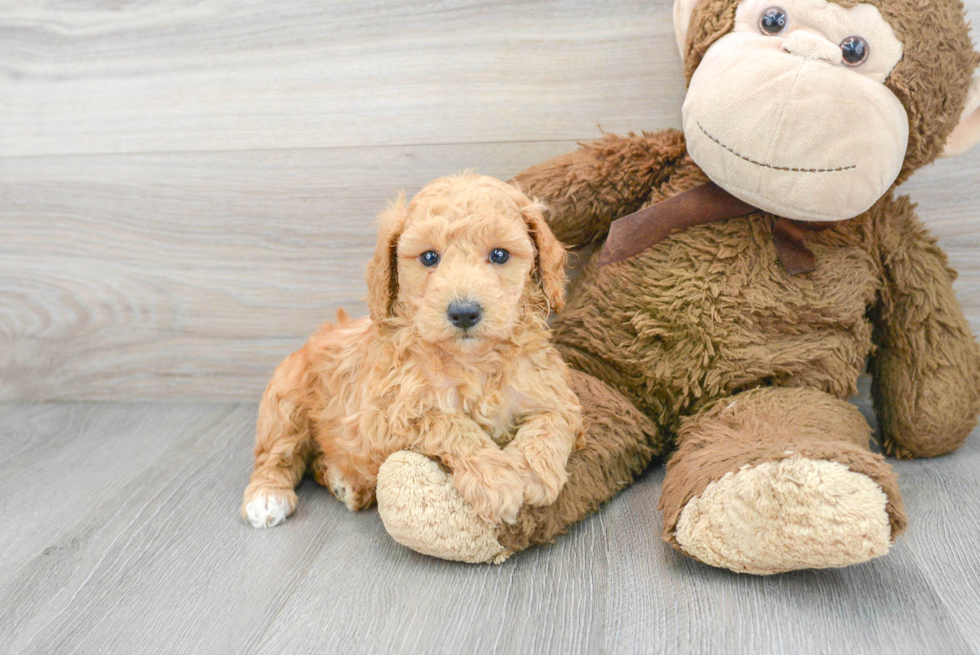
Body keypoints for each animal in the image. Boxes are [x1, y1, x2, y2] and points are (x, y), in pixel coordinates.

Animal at [242, 173, 584, 528]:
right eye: (429, 257)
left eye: (500, 255)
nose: (464, 312)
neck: (473, 362)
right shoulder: (385, 419)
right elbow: (452, 425)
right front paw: (496, 480)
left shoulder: (554, 392)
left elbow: (552, 421)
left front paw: (532, 473)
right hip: (286, 399)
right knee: (276, 455)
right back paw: (268, 497)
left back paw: (342, 483)